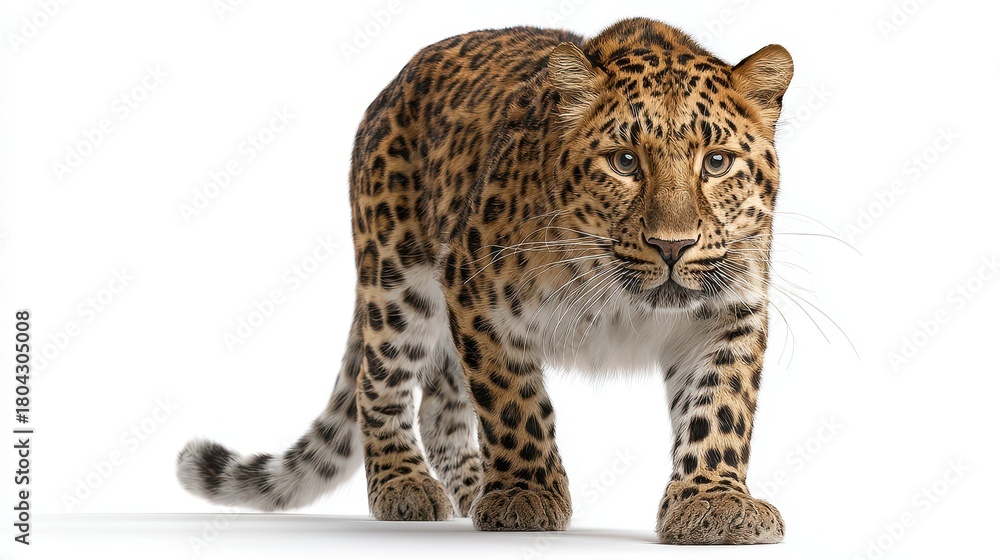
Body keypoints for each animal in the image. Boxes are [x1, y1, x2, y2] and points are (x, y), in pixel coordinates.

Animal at [177, 17, 793, 545]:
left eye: (715, 163)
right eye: (624, 162)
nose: (672, 245)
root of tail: (389, 90)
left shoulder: (730, 310)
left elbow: (720, 406)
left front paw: (713, 502)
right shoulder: (474, 292)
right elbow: (513, 401)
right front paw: (526, 494)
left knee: (439, 404)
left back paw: (471, 487)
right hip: (398, 280)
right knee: (379, 382)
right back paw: (406, 485)